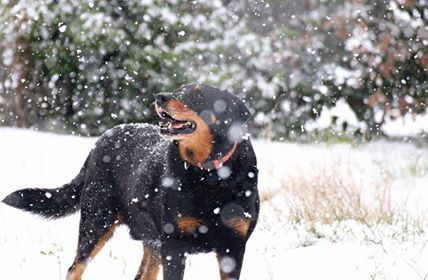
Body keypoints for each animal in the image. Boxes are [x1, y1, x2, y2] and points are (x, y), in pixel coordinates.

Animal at [2, 83, 258, 280]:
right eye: (179, 88)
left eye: (199, 95)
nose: (161, 96)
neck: (209, 174)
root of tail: (101, 140)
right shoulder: (174, 245)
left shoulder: (234, 248)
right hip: (97, 221)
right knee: (75, 268)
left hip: (151, 242)